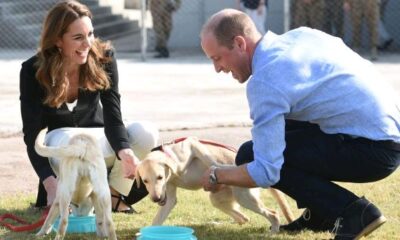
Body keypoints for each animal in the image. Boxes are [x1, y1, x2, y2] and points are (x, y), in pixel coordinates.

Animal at [134, 137, 294, 232]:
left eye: (160, 177)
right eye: (145, 181)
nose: (156, 198)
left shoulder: (192, 143)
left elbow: (209, 159)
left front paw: (218, 167)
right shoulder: (169, 198)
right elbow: (157, 220)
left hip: (245, 198)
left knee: (272, 214)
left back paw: (274, 230)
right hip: (218, 199)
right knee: (244, 218)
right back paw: (218, 224)